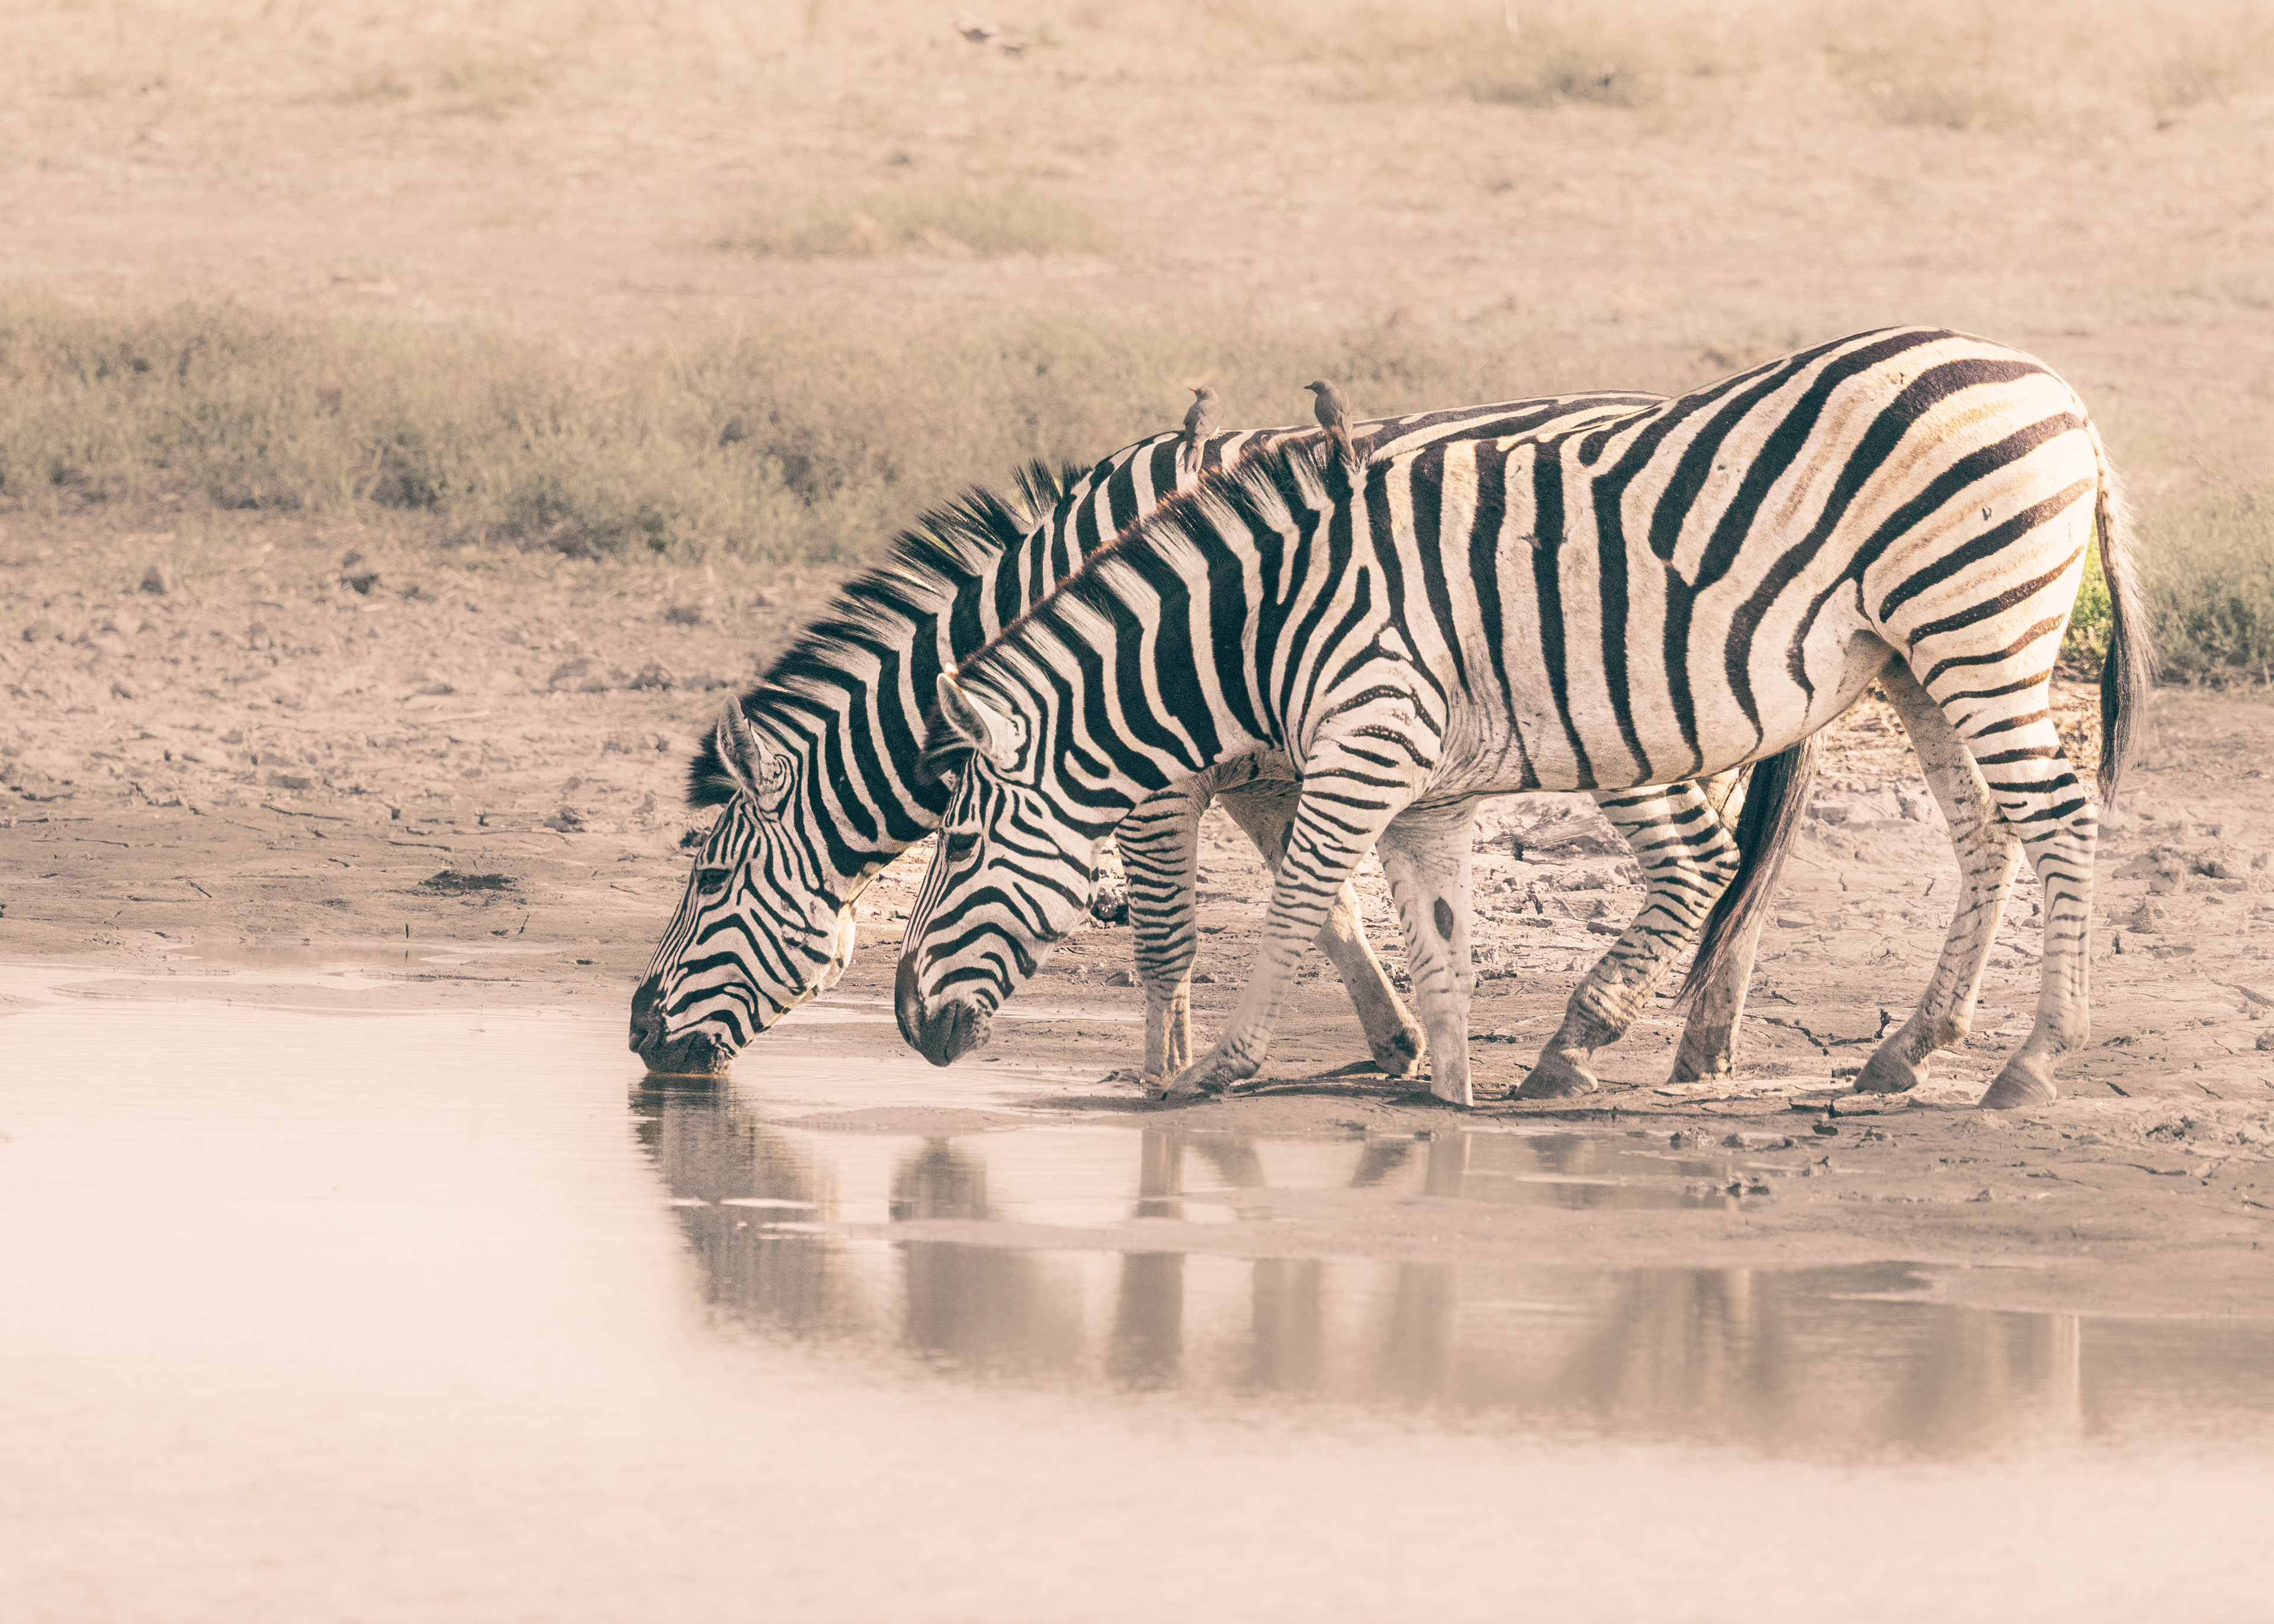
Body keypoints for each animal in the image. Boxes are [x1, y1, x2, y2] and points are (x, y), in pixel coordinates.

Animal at [630, 389, 1738, 1082]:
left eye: (709, 880)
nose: (638, 1032)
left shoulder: (1154, 777)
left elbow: (1170, 933)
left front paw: (1159, 1081)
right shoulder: (1257, 768)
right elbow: (1325, 901)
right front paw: (1395, 1042)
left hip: (1631, 717)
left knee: (1705, 859)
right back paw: (1711, 1049)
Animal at [895, 327, 2152, 1111]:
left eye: (959, 840)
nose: (905, 1021)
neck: (1251, 626)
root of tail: (2063, 396)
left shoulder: (1365, 742)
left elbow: (1294, 902)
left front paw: (1211, 1070)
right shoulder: (1419, 783)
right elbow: (1436, 941)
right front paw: (1442, 1098)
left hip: (1974, 624)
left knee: (2061, 818)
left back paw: (2034, 1062)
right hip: (1920, 656)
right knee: (1988, 829)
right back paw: (1902, 1051)